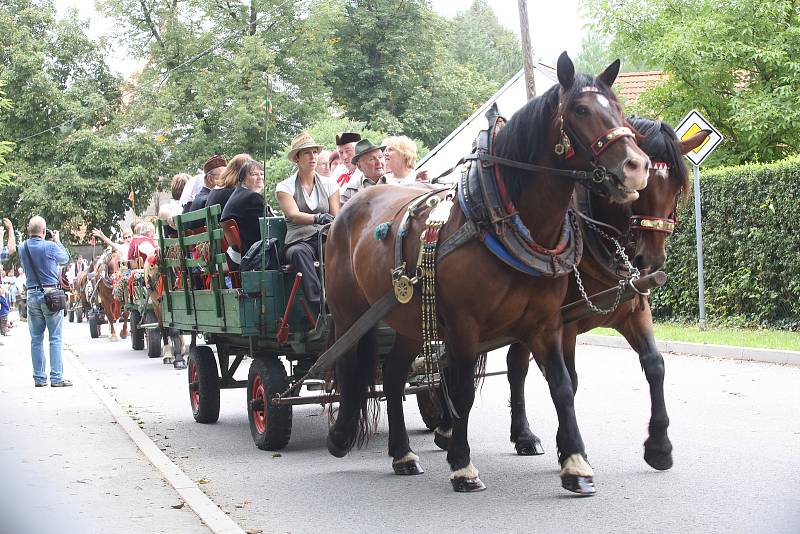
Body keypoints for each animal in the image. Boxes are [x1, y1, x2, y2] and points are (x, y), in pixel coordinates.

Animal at [324, 52, 648, 496]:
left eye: (618, 109)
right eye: (581, 110)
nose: (637, 167)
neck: (498, 219)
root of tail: (351, 207)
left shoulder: (545, 323)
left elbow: (561, 386)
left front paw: (576, 465)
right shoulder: (465, 326)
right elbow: (462, 391)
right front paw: (462, 465)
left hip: (409, 318)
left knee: (391, 376)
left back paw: (403, 454)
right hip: (348, 313)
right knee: (347, 366)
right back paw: (341, 437)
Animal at [428, 118, 708, 474]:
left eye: (675, 188)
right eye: (638, 188)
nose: (651, 259)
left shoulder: (634, 309)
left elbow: (655, 364)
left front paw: (659, 446)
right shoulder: (564, 325)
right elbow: (569, 381)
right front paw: (571, 450)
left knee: (514, 366)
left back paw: (521, 434)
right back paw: (448, 426)